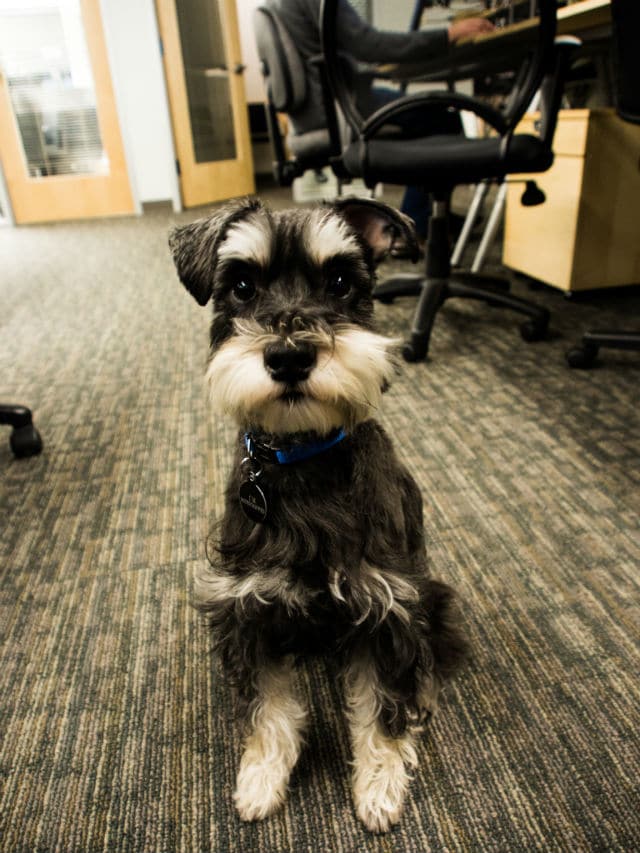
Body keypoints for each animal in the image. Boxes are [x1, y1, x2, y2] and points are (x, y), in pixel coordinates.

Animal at [170, 196, 470, 828]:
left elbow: (382, 709)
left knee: (430, 657)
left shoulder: (388, 607)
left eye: (339, 282)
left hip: (432, 595)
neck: (304, 458)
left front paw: (380, 787)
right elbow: (268, 709)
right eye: (241, 286)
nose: (289, 356)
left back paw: (426, 695)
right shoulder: (247, 610)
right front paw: (261, 779)